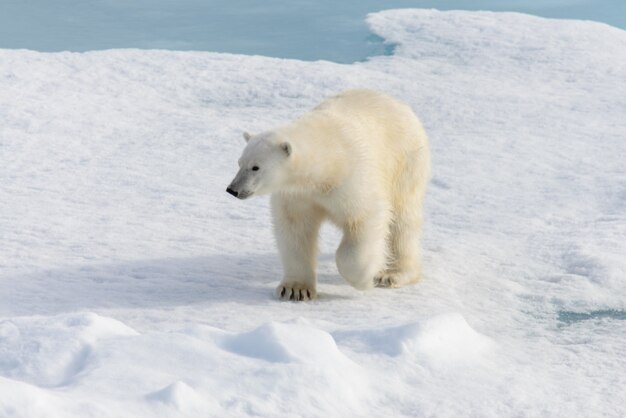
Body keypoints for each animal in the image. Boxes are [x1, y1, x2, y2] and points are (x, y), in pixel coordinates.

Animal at [224, 90, 428, 300]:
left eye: (255, 167)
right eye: (239, 163)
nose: (233, 189)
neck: (327, 163)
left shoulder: (351, 181)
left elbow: (365, 218)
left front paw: (364, 280)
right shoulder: (297, 195)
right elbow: (294, 230)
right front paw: (295, 289)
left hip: (405, 164)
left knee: (402, 222)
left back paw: (392, 274)